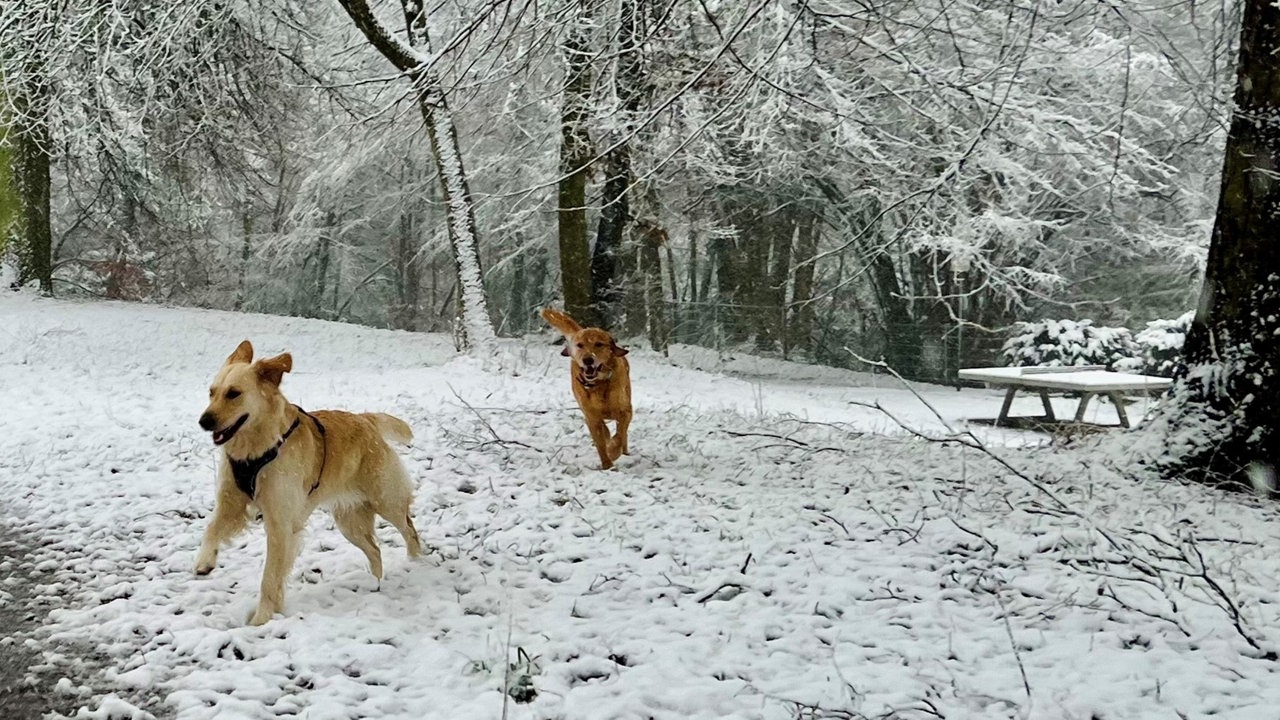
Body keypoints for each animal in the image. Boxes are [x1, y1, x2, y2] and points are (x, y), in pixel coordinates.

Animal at [194, 338, 422, 620]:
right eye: (211, 392)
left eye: (233, 393)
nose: (204, 421)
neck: (257, 448)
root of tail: (365, 419)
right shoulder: (231, 504)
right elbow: (211, 529)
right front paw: (205, 561)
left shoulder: (280, 524)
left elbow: (269, 578)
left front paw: (261, 619)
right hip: (350, 522)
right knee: (375, 550)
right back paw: (375, 584)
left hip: (387, 502)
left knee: (410, 530)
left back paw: (415, 564)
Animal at [542, 304, 632, 468]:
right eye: (580, 345)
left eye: (599, 344)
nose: (588, 360)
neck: (599, 384)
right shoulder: (591, 416)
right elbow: (601, 440)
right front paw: (607, 465)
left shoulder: (625, 411)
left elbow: (620, 434)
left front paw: (613, 451)